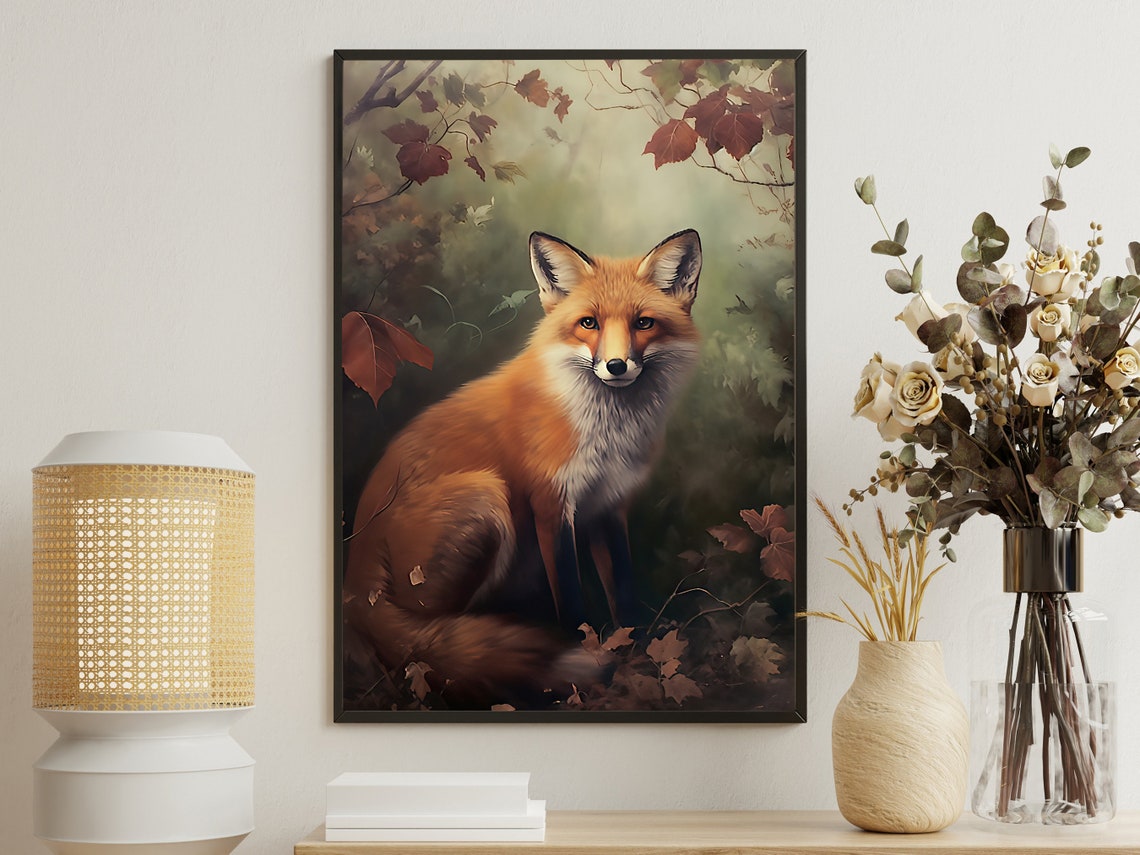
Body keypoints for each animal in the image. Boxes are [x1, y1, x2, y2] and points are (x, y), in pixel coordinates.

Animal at [343, 228, 702, 707]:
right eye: (589, 323)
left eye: (643, 323)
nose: (616, 366)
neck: (607, 434)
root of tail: (354, 576)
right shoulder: (551, 505)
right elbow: (570, 598)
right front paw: (583, 661)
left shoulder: (609, 506)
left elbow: (622, 590)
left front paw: (637, 649)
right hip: (485, 498)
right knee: (430, 640)